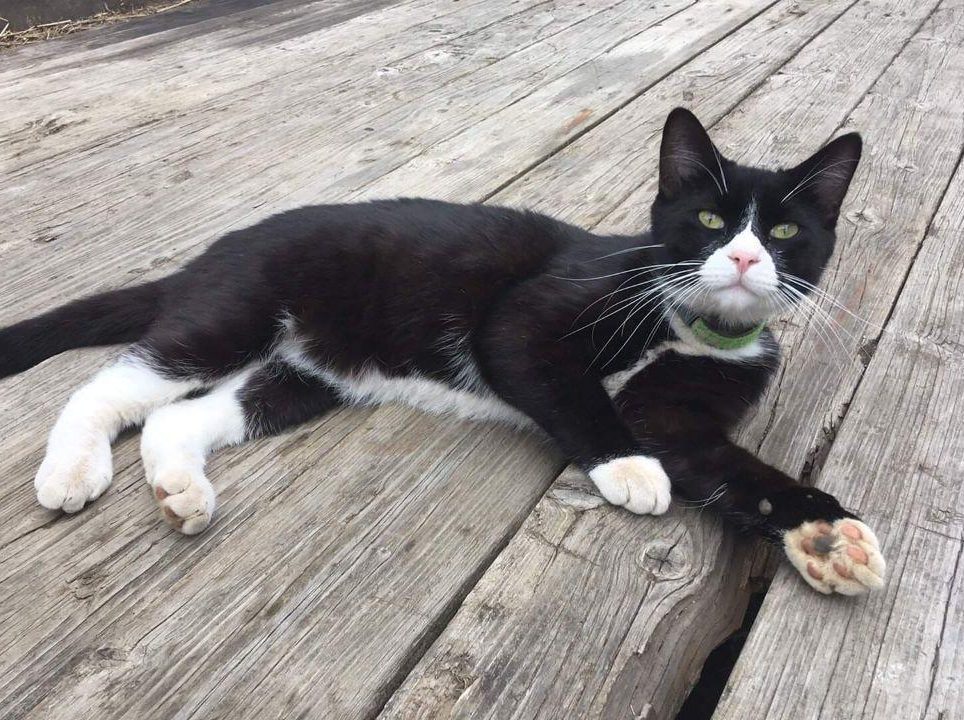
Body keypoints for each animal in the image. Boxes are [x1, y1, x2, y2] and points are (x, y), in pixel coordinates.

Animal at [1, 108, 888, 596]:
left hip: (305, 370)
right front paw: (630, 468)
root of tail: (215, 252)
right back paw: (71, 470)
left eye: (785, 232)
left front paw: (827, 537)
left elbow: (734, 471)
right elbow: (572, 390)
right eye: (707, 220)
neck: (688, 327)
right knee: (117, 382)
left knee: (184, 417)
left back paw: (180, 489)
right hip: (237, 310)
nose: (742, 258)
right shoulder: (527, 317)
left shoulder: (687, 417)